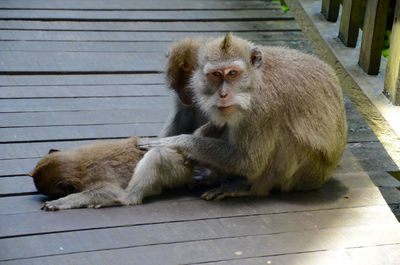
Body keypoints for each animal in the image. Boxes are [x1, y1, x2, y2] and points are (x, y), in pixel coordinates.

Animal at [30, 137, 192, 209]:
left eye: (53, 194)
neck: (80, 165)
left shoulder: (94, 178)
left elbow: (109, 192)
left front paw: (60, 202)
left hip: (179, 169)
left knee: (158, 153)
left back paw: (125, 200)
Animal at [126, 33, 346, 202]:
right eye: (215, 75)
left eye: (232, 73)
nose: (223, 94)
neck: (256, 79)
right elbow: (186, 117)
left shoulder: (261, 107)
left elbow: (248, 161)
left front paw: (177, 143)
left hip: (305, 176)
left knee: (288, 141)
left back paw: (249, 187)